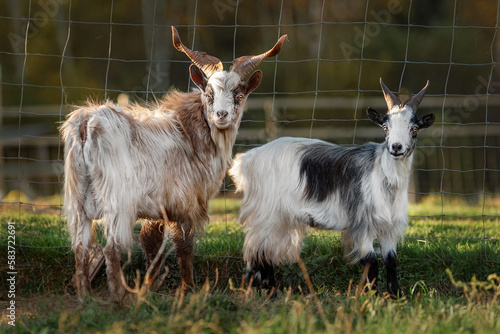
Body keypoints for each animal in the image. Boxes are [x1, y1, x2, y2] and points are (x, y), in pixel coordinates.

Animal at [60, 27, 288, 302]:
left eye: (239, 95)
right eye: (208, 94)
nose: (221, 115)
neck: (189, 133)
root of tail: (85, 124)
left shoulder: (157, 207)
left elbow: (152, 243)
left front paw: (147, 288)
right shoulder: (185, 202)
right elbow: (184, 246)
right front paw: (188, 288)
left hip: (77, 198)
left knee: (81, 248)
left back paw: (85, 298)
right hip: (117, 202)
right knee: (111, 248)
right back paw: (118, 299)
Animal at [229, 79, 434, 296]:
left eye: (414, 129)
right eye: (386, 127)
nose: (396, 147)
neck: (383, 175)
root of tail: (248, 160)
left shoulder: (388, 226)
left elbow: (391, 260)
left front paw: (394, 296)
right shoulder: (361, 223)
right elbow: (371, 261)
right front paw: (371, 297)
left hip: (279, 219)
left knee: (264, 252)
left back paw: (270, 291)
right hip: (268, 214)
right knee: (255, 251)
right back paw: (258, 290)